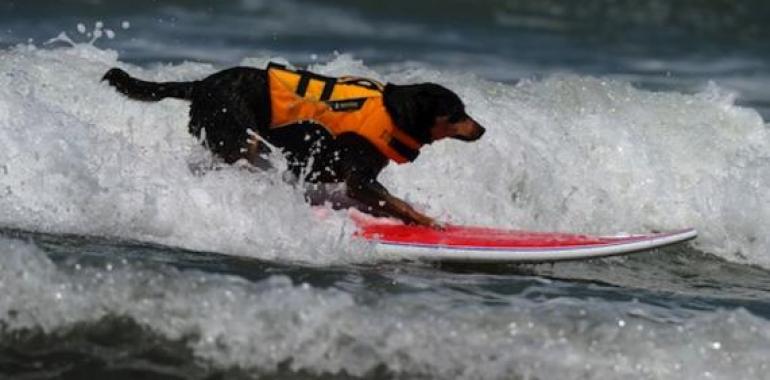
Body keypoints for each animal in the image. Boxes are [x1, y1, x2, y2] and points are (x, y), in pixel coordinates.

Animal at [103, 63, 484, 227]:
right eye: (457, 112)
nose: (482, 129)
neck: (394, 113)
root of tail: (200, 84)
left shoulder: (324, 171)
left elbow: (386, 202)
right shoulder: (357, 179)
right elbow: (398, 202)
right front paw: (429, 221)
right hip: (238, 136)